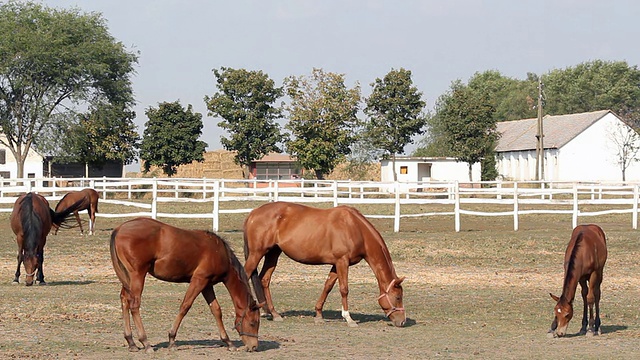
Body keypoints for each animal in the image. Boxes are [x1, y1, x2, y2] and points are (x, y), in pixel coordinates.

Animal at [110, 218, 262, 352]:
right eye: (253, 323)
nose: (254, 346)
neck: (219, 252)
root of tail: (119, 229)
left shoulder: (207, 285)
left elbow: (216, 310)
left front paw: (228, 342)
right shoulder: (199, 280)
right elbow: (185, 306)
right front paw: (171, 339)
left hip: (128, 278)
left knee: (125, 300)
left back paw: (131, 342)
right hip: (137, 275)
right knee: (134, 305)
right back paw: (145, 342)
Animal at [242, 201, 408, 328]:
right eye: (398, 297)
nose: (402, 321)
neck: (354, 227)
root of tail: (253, 213)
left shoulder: (337, 264)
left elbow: (328, 286)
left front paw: (318, 314)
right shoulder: (342, 262)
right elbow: (344, 289)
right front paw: (349, 318)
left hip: (273, 253)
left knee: (264, 279)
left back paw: (273, 313)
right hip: (257, 253)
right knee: (246, 274)